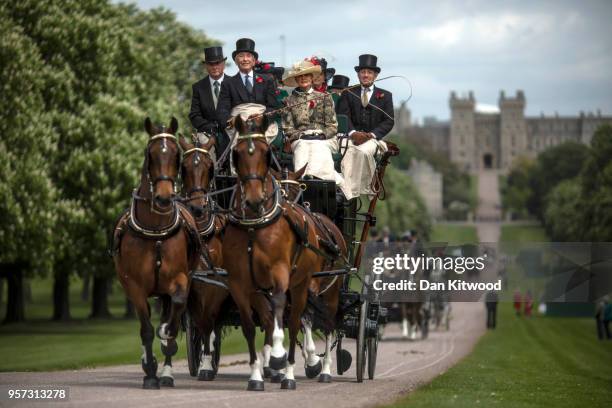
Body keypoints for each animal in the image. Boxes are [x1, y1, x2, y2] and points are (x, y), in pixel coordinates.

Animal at [112, 118, 201, 388]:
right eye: (150, 154)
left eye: (176, 155)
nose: (163, 198)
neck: (156, 231)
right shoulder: (135, 286)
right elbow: (146, 329)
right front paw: (150, 371)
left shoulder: (180, 280)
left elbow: (171, 321)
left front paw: (166, 361)